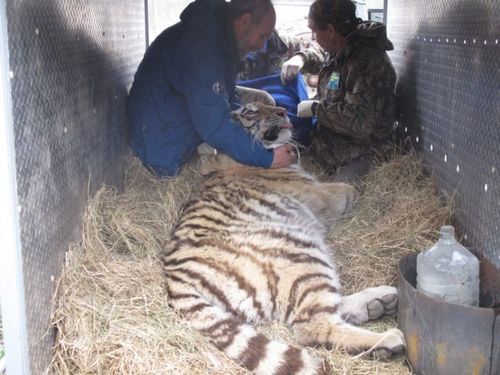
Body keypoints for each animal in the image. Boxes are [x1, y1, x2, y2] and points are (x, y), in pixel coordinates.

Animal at [161, 101, 406, 374]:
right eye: (249, 112)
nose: (281, 110)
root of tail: (174, 276)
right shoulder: (324, 195)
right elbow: (348, 187)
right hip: (300, 254)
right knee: (314, 325)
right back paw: (389, 338)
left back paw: (381, 301)